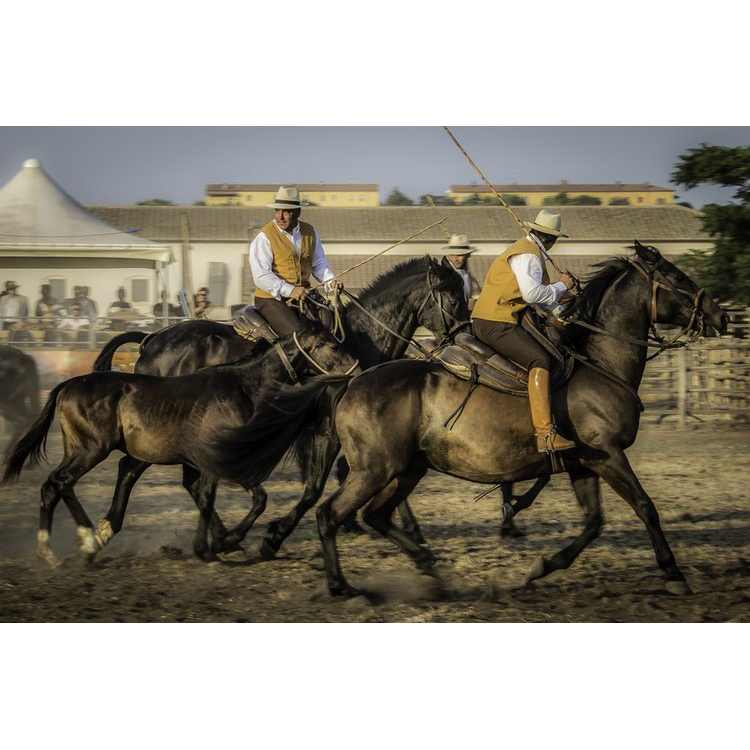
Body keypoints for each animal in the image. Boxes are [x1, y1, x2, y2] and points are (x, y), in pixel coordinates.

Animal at [2, 326, 362, 568]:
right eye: (331, 344)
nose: (357, 368)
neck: (243, 385)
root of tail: (68, 384)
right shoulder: (218, 457)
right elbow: (220, 498)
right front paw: (217, 545)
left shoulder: (220, 459)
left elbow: (233, 497)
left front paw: (224, 542)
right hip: (90, 449)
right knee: (61, 482)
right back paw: (82, 540)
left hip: (82, 450)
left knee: (57, 485)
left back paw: (69, 546)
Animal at [204, 242, 728, 600]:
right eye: (678, 278)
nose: (721, 316)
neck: (597, 363)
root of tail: (354, 380)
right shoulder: (609, 457)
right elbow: (645, 507)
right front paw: (673, 572)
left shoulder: (584, 463)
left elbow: (595, 522)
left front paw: (542, 566)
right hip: (376, 469)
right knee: (330, 512)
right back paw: (338, 583)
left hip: (408, 468)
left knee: (374, 514)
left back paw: (429, 568)